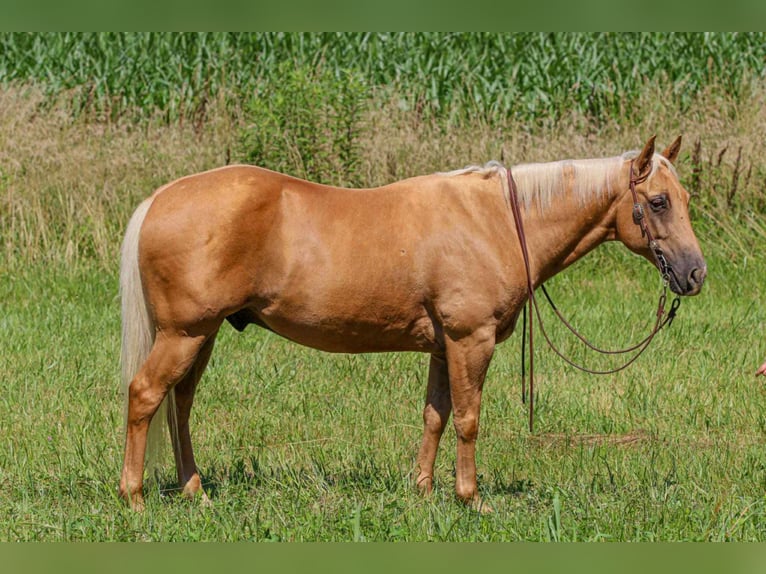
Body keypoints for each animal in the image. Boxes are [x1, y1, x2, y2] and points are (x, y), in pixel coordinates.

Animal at [119, 136, 706, 511]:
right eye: (658, 201)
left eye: (685, 198)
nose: (694, 273)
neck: (494, 221)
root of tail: (160, 198)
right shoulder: (472, 341)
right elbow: (468, 419)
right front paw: (471, 499)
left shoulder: (444, 347)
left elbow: (435, 416)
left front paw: (422, 490)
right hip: (185, 334)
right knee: (146, 395)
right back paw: (135, 496)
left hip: (204, 335)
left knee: (180, 403)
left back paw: (194, 489)